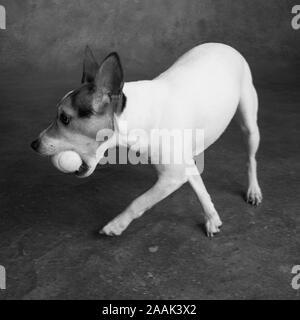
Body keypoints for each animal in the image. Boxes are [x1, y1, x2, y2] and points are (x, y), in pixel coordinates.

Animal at [31, 42, 262, 236]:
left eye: (64, 118)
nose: (34, 144)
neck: (137, 114)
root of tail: (227, 46)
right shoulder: (183, 166)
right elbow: (201, 190)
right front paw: (212, 218)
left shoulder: (171, 177)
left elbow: (139, 202)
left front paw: (117, 224)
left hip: (249, 126)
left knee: (251, 159)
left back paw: (253, 190)